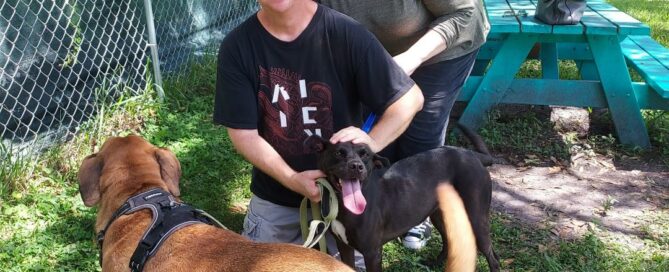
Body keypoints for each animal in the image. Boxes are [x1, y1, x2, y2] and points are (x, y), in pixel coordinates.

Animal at [306, 125, 498, 272]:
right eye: (339, 153)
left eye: (365, 154)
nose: (357, 166)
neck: (343, 205)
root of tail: (472, 155)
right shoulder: (344, 246)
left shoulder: (372, 253)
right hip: (440, 214)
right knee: (448, 240)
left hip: (476, 218)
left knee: (492, 256)